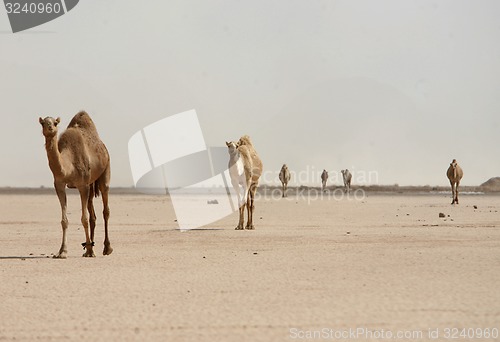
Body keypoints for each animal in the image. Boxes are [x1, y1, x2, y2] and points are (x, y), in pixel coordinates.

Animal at [39, 111, 113, 258]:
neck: (69, 166)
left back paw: (106, 248)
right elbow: (64, 220)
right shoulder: (59, 185)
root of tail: (103, 147)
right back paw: (89, 248)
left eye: (55, 123)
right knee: (93, 215)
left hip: (105, 169)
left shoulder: (82, 185)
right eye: (43, 123)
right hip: (91, 183)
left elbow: (84, 219)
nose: (49, 127)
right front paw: (62, 251)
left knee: (105, 210)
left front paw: (90, 250)